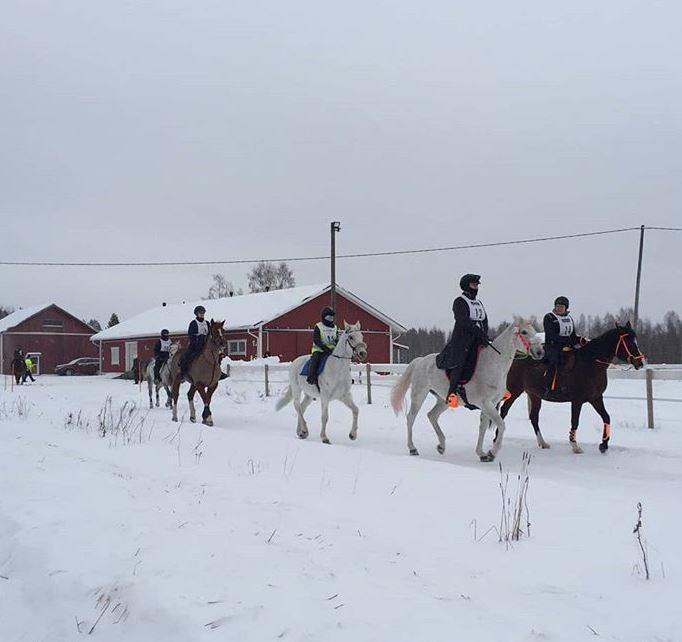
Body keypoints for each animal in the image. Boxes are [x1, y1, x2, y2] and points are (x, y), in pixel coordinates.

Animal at [390, 318, 544, 460]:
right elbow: (501, 424)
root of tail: (421, 360)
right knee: (411, 418)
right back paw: (412, 448)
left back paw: (441, 446)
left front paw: (482, 454)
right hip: (419, 395)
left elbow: (483, 427)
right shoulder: (485, 403)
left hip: (443, 400)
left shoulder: (490, 404)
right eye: (524, 332)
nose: (539, 352)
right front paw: (492, 452)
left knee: (432, 415)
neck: (493, 364)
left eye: (534, 331)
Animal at [500, 318, 644, 450]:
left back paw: (543, 443)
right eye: (629, 343)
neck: (590, 363)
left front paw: (604, 444)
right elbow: (575, 421)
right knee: (503, 410)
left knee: (534, 417)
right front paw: (575, 446)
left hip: (534, 395)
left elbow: (606, 417)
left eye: (636, 341)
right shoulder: (577, 400)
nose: (640, 363)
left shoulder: (596, 398)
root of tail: (513, 357)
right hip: (514, 391)